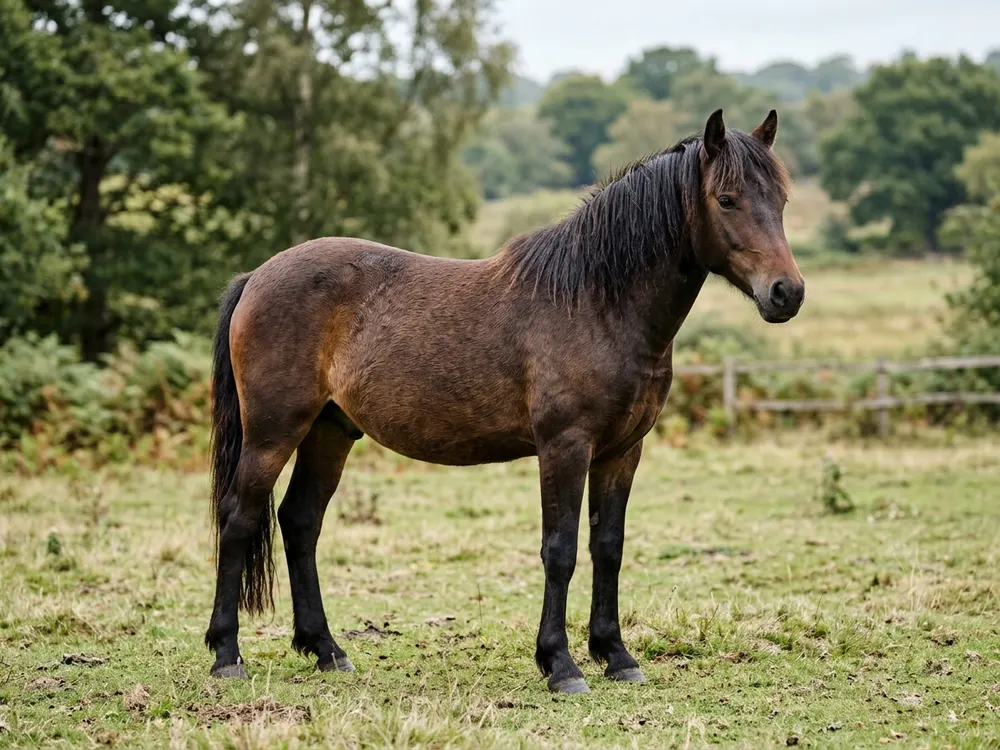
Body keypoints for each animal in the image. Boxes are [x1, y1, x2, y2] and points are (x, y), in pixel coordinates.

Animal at [204, 108, 804, 694]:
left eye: (781, 199)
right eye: (726, 199)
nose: (787, 293)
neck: (596, 302)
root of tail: (256, 276)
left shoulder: (622, 451)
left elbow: (607, 546)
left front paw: (616, 656)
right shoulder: (564, 446)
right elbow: (559, 549)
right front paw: (561, 665)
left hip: (329, 431)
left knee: (300, 521)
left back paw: (327, 650)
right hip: (273, 433)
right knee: (239, 519)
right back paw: (227, 656)